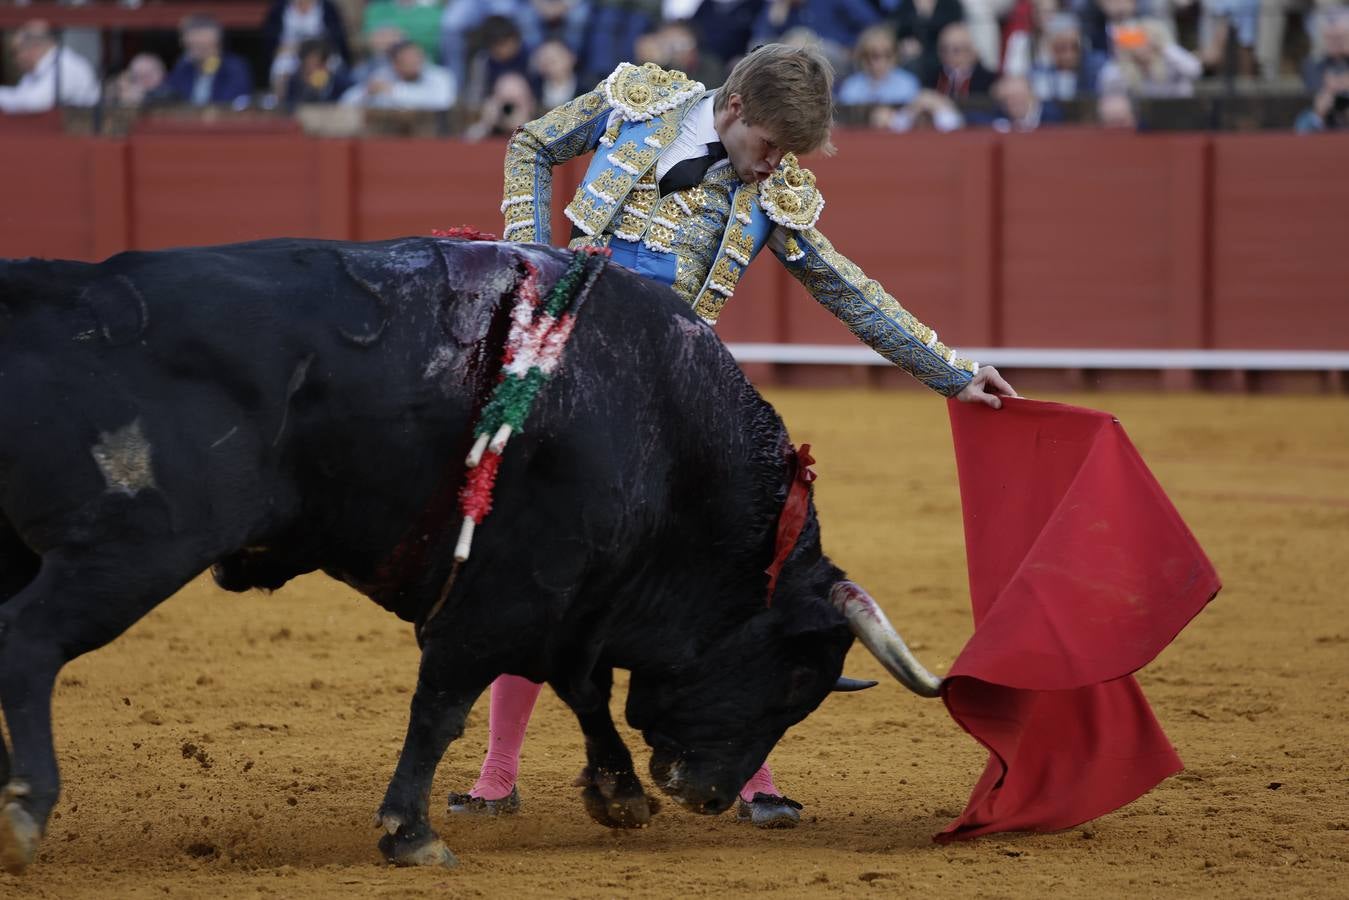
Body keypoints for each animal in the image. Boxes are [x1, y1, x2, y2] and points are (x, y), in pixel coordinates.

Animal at [0, 237, 938, 874]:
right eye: (793, 678)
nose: (705, 796)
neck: (667, 436)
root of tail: (55, 287)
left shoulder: (572, 603)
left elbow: (583, 692)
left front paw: (619, 796)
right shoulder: (503, 597)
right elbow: (445, 704)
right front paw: (411, 834)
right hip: (135, 546)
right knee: (30, 640)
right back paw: (26, 812)